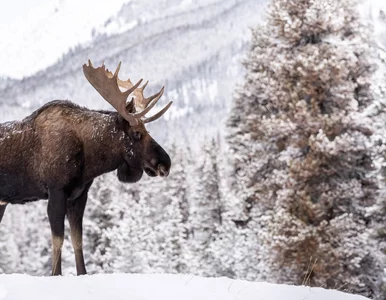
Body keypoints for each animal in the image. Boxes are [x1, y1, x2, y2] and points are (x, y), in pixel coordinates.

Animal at [0, 61, 172, 276]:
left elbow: (78, 241)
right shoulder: (56, 191)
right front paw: (56, 274)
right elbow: (58, 241)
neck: (89, 158)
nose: (166, 163)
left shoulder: (79, 195)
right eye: (137, 133)